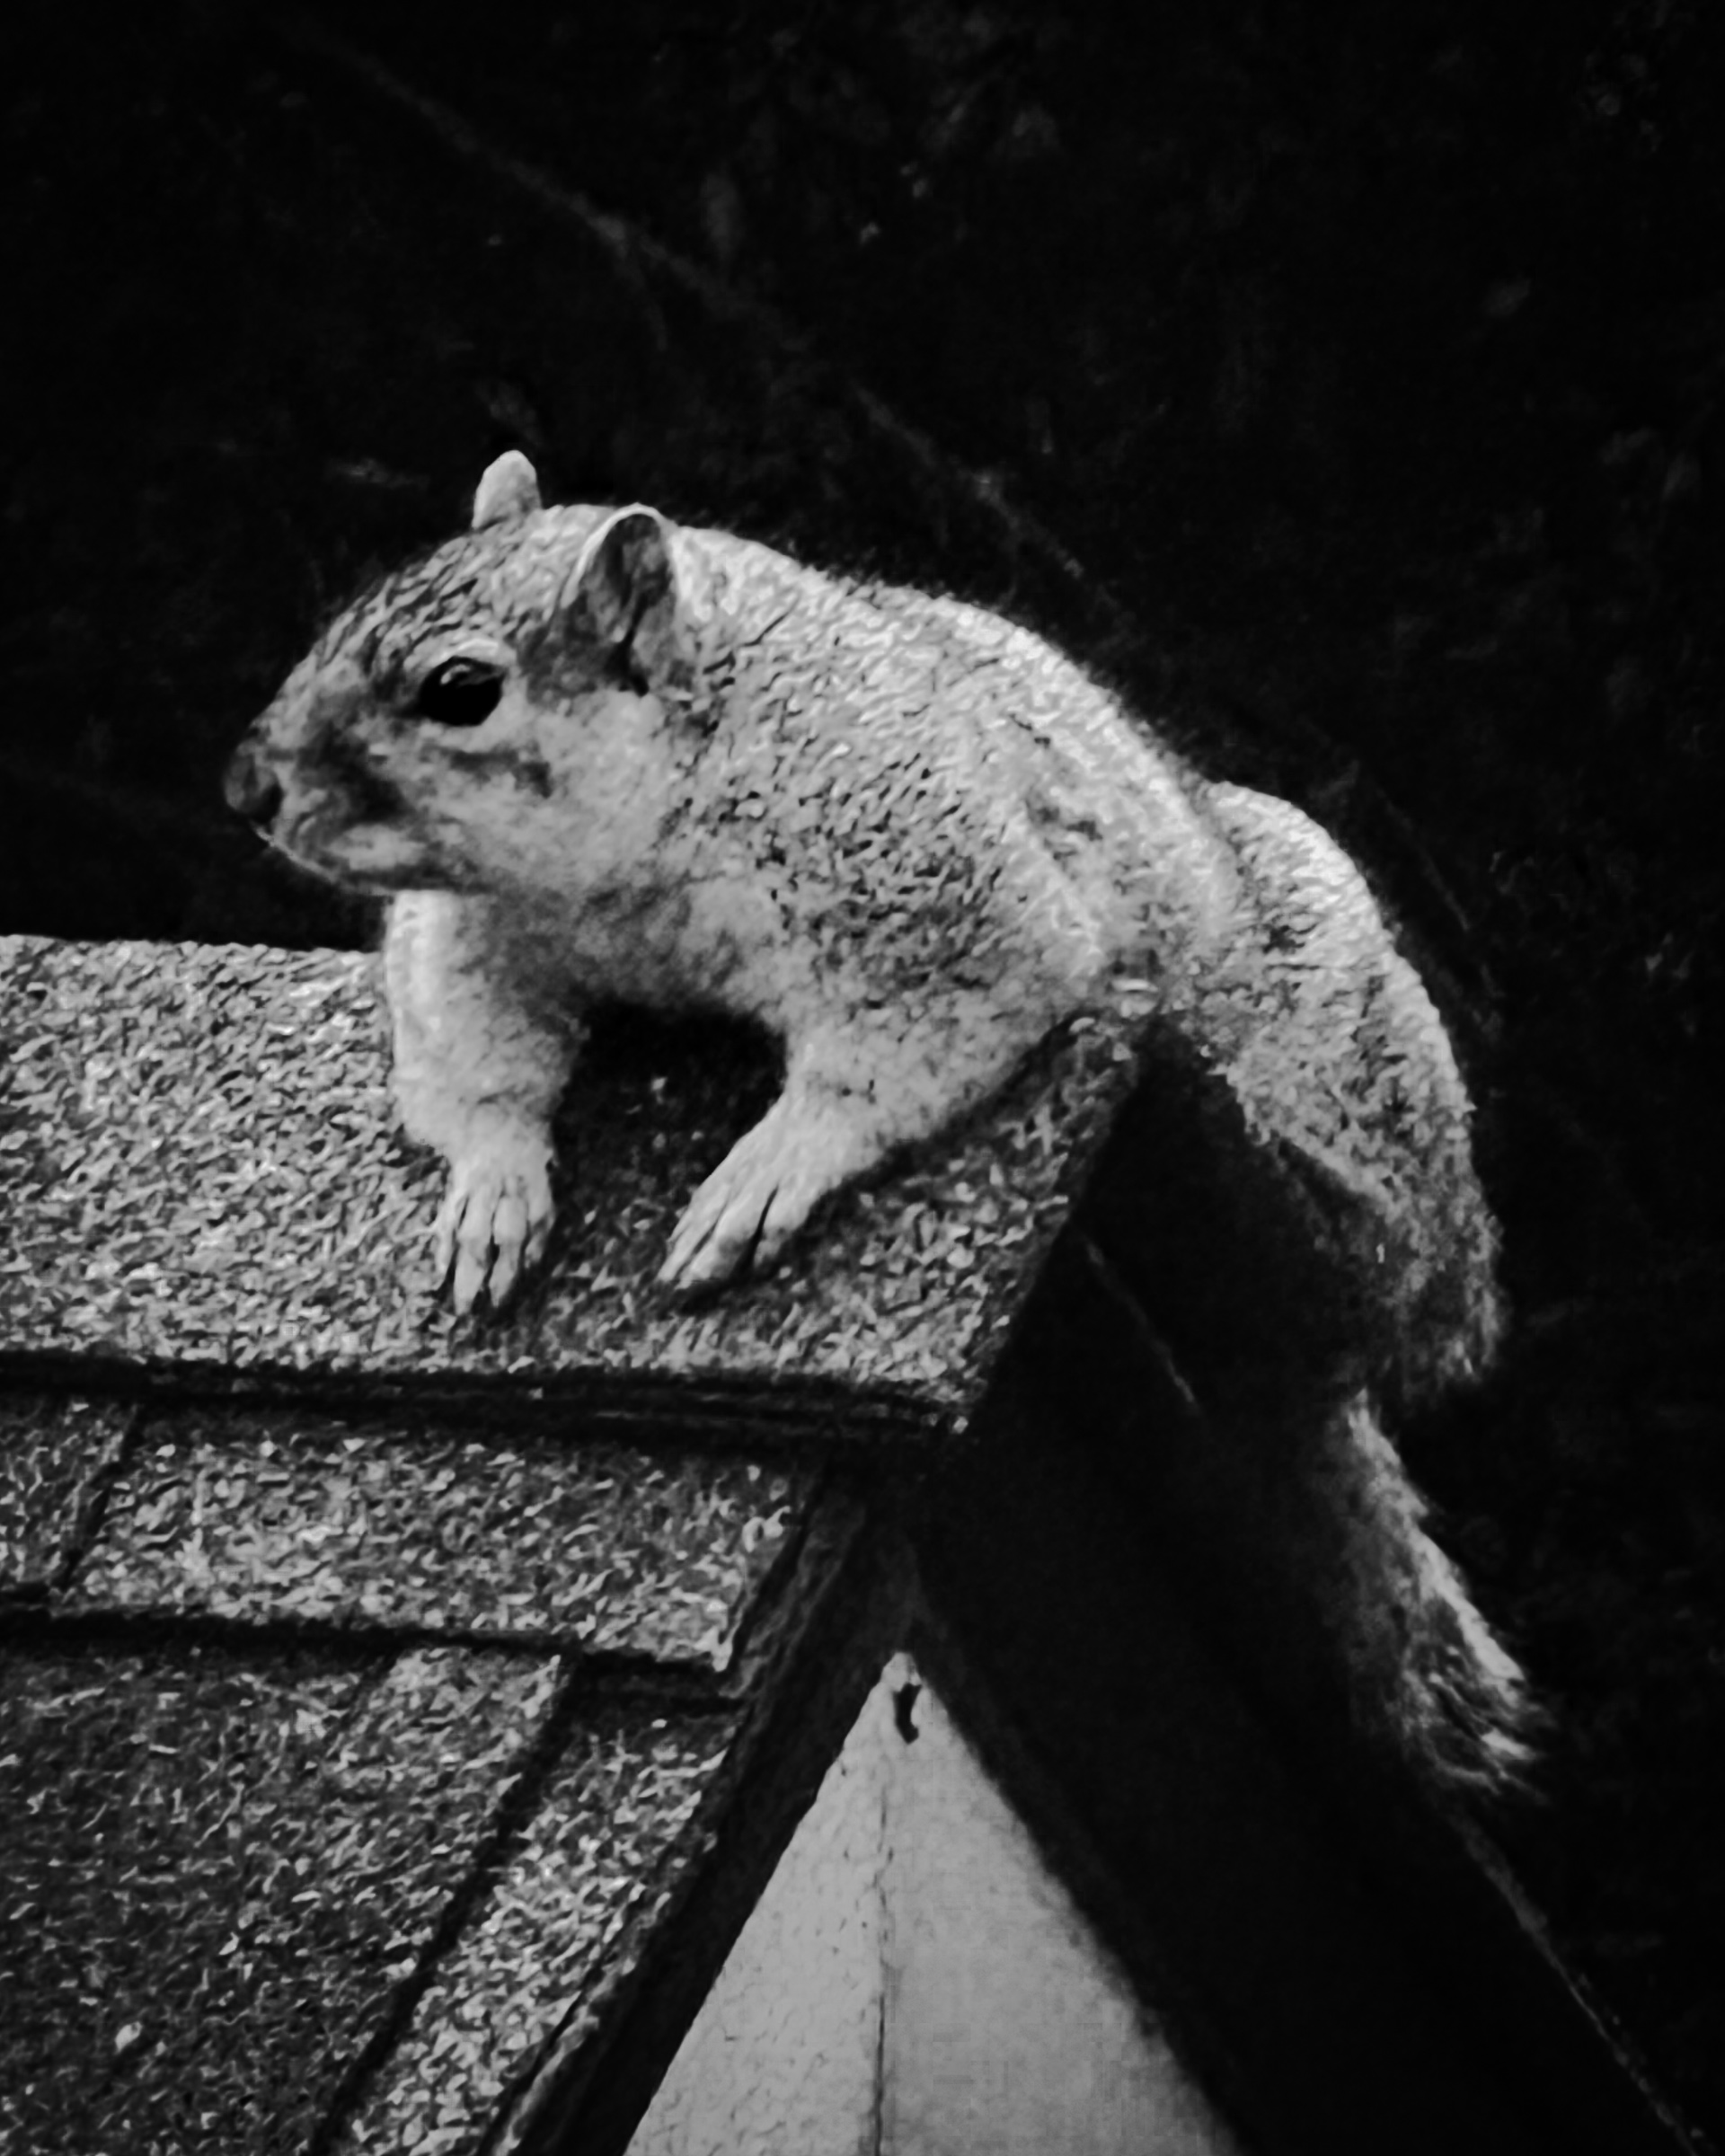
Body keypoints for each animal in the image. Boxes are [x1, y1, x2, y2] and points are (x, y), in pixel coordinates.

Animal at [225, 451, 1523, 1783]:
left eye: (461, 689)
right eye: (347, 612)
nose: (249, 784)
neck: (633, 850)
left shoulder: (930, 884)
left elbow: (901, 1052)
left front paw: (767, 1172)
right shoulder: (475, 940)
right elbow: (477, 1061)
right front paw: (493, 1189)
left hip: (1352, 1080)